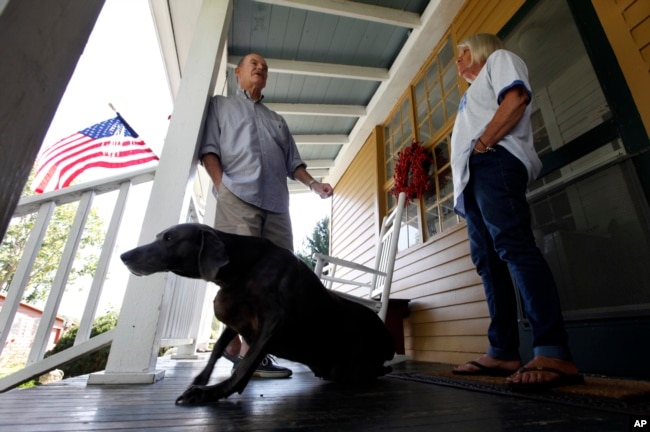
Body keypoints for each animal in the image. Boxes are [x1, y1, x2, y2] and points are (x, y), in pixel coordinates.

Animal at [121, 223, 394, 404]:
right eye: (160, 236)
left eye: (168, 238)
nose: (124, 255)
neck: (243, 267)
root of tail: (386, 335)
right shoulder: (235, 320)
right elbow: (218, 349)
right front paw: (201, 379)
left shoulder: (272, 322)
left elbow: (246, 364)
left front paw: (209, 392)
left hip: (350, 368)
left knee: (371, 371)